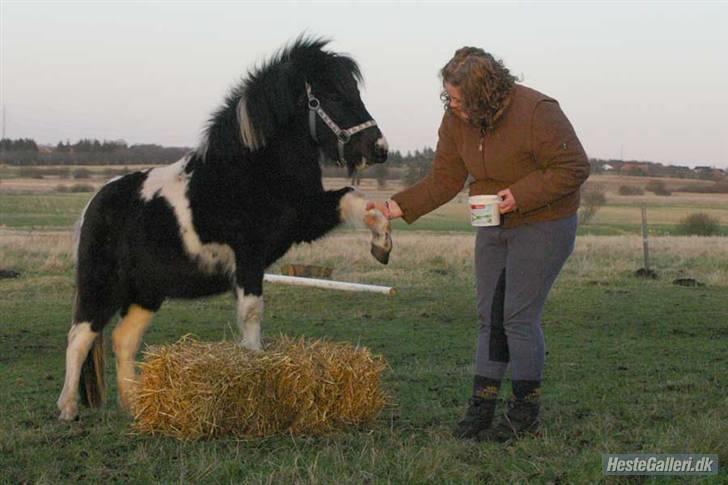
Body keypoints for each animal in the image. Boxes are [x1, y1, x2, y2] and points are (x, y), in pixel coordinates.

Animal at [57, 36, 392, 420]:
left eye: (354, 90)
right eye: (333, 95)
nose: (379, 148)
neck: (251, 170)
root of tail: (93, 206)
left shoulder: (306, 219)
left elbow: (355, 199)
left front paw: (382, 246)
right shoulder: (248, 258)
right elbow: (251, 312)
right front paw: (254, 366)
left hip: (146, 293)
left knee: (122, 340)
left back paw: (135, 406)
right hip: (102, 286)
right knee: (79, 337)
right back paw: (68, 408)